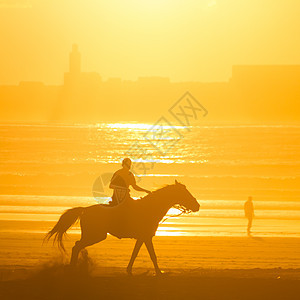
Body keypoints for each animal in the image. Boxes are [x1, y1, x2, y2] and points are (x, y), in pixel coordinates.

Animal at [45, 179, 199, 276]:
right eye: (185, 193)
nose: (197, 206)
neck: (150, 208)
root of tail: (84, 210)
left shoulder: (142, 237)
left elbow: (135, 253)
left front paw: (129, 270)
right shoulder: (147, 237)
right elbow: (152, 255)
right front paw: (159, 272)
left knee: (77, 246)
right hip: (96, 235)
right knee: (76, 246)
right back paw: (73, 268)